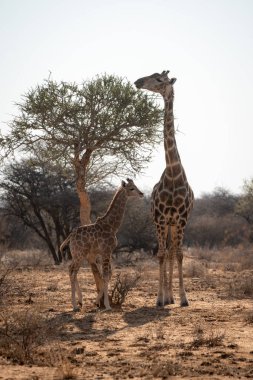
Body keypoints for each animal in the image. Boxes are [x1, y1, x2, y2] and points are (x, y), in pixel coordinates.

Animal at [59, 178, 142, 312]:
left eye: (135, 186)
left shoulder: (107, 252)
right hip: (80, 254)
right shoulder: (106, 251)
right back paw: (75, 305)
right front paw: (107, 306)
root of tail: (70, 236)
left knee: (70, 269)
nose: (141, 194)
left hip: (77, 255)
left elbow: (109, 274)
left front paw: (96, 301)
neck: (112, 226)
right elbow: (106, 275)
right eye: (131, 188)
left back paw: (80, 301)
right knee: (73, 272)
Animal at [134, 71, 194, 308]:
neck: (173, 174)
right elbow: (160, 254)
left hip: (172, 224)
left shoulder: (181, 219)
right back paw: (167, 297)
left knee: (171, 251)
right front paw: (160, 298)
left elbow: (178, 254)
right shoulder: (159, 219)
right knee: (165, 251)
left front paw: (184, 298)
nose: (138, 82)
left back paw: (172, 297)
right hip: (165, 223)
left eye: (159, 79)